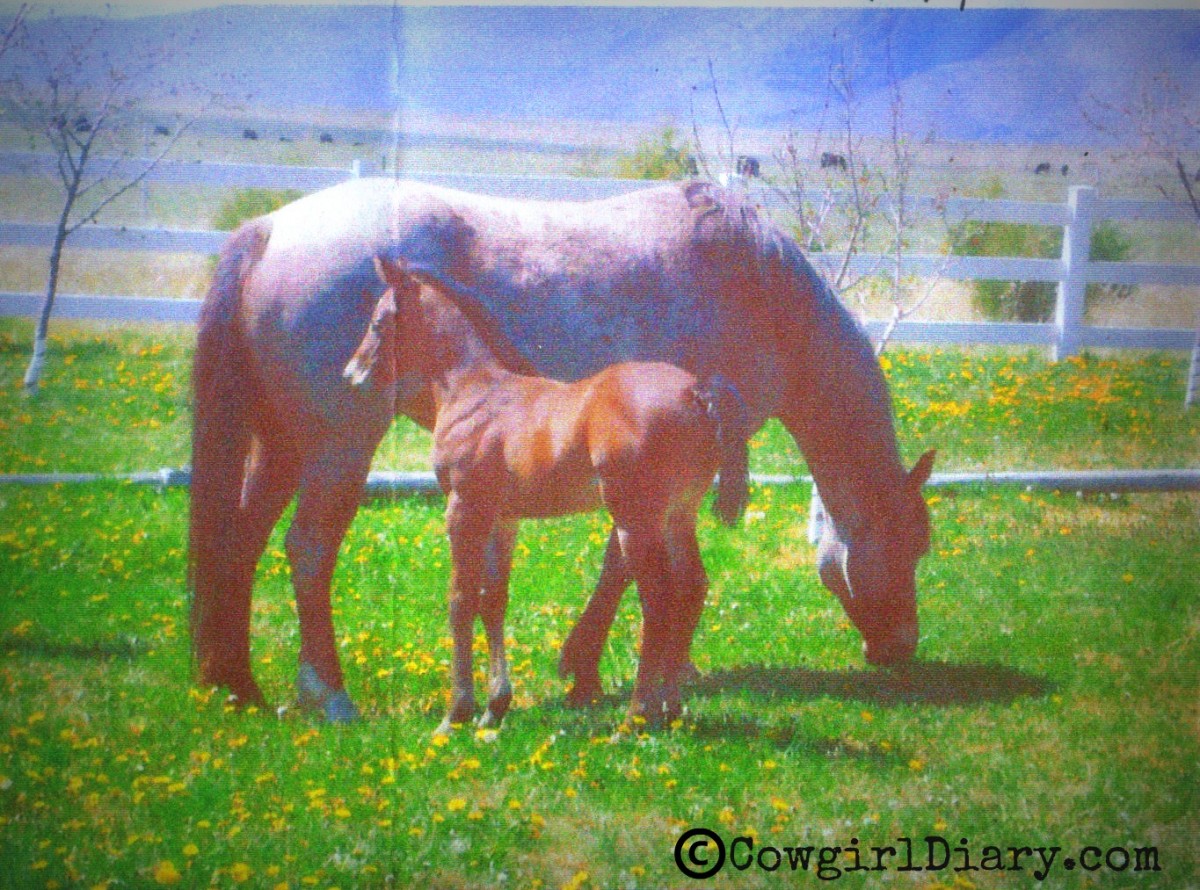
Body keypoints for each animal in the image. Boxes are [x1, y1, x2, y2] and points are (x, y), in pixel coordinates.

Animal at [343, 257, 748, 734]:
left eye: (377, 322)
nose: (351, 376)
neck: (473, 389)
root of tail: (695, 390)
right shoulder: (502, 518)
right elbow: (493, 600)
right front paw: (494, 707)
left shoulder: (463, 509)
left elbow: (460, 601)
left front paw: (456, 713)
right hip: (677, 516)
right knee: (691, 587)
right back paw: (671, 708)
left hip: (635, 520)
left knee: (658, 599)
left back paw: (635, 717)